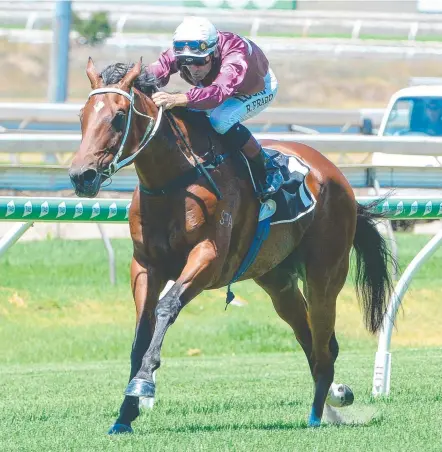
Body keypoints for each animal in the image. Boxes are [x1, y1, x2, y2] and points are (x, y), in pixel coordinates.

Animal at [70, 58, 398, 432]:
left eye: (119, 116)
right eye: (82, 115)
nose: (81, 176)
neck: (175, 182)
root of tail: (336, 175)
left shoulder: (208, 258)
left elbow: (166, 307)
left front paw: (143, 382)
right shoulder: (145, 265)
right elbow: (142, 330)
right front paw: (125, 415)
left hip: (324, 275)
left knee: (324, 342)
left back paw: (317, 414)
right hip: (277, 281)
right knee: (311, 339)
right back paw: (330, 399)